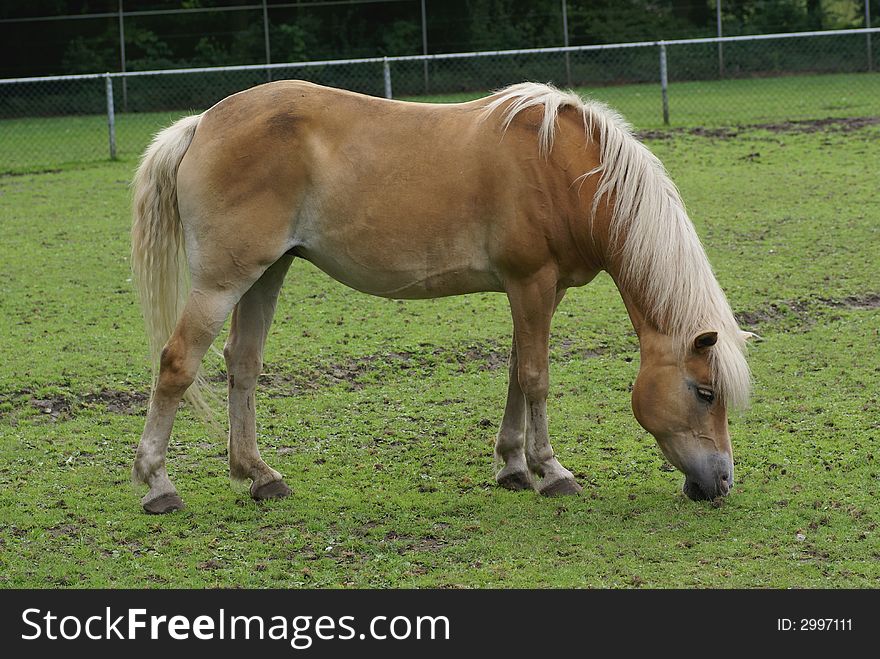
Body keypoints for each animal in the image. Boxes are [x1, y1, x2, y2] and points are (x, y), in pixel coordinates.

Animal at [131, 80, 756, 516]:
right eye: (705, 392)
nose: (722, 482)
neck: (564, 169)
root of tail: (202, 124)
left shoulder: (539, 291)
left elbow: (516, 371)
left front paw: (512, 467)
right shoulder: (531, 282)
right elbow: (536, 378)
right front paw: (551, 472)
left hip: (265, 273)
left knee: (243, 365)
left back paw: (260, 476)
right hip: (222, 281)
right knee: (178, 363)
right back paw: (158, 485)